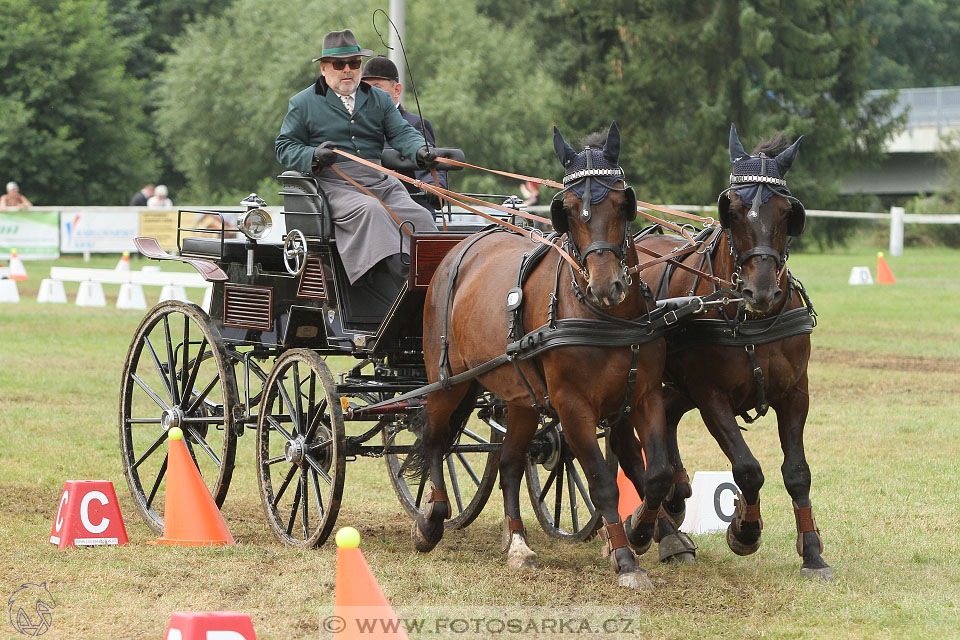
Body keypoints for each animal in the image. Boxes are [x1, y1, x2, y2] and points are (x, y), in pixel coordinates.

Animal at [412, 121, 676, 592]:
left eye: (621, 201)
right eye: (567, 209)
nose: (606, 286)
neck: (604, 317)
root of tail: (461, 248)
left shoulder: (643, 397)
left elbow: (657, 474)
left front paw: (640, 531)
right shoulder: (573, 407)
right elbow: (603, 483)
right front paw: (626, 558)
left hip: (520, 398)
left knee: (510, 461)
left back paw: (518, 542)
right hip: (448, 379)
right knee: (436, 439)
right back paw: (432, 521)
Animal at [632, 125, 832, 580]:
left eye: (787, 212)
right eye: (733, 209)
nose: (761, 291)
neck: (752, 318)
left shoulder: (796, 393)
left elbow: (797, 472)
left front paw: (812, 551)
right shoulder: (711, 396)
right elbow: (747, 469)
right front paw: (744, 529)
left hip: (676, 385)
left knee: (666, 417)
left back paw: (675, 496)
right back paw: (660, 528)